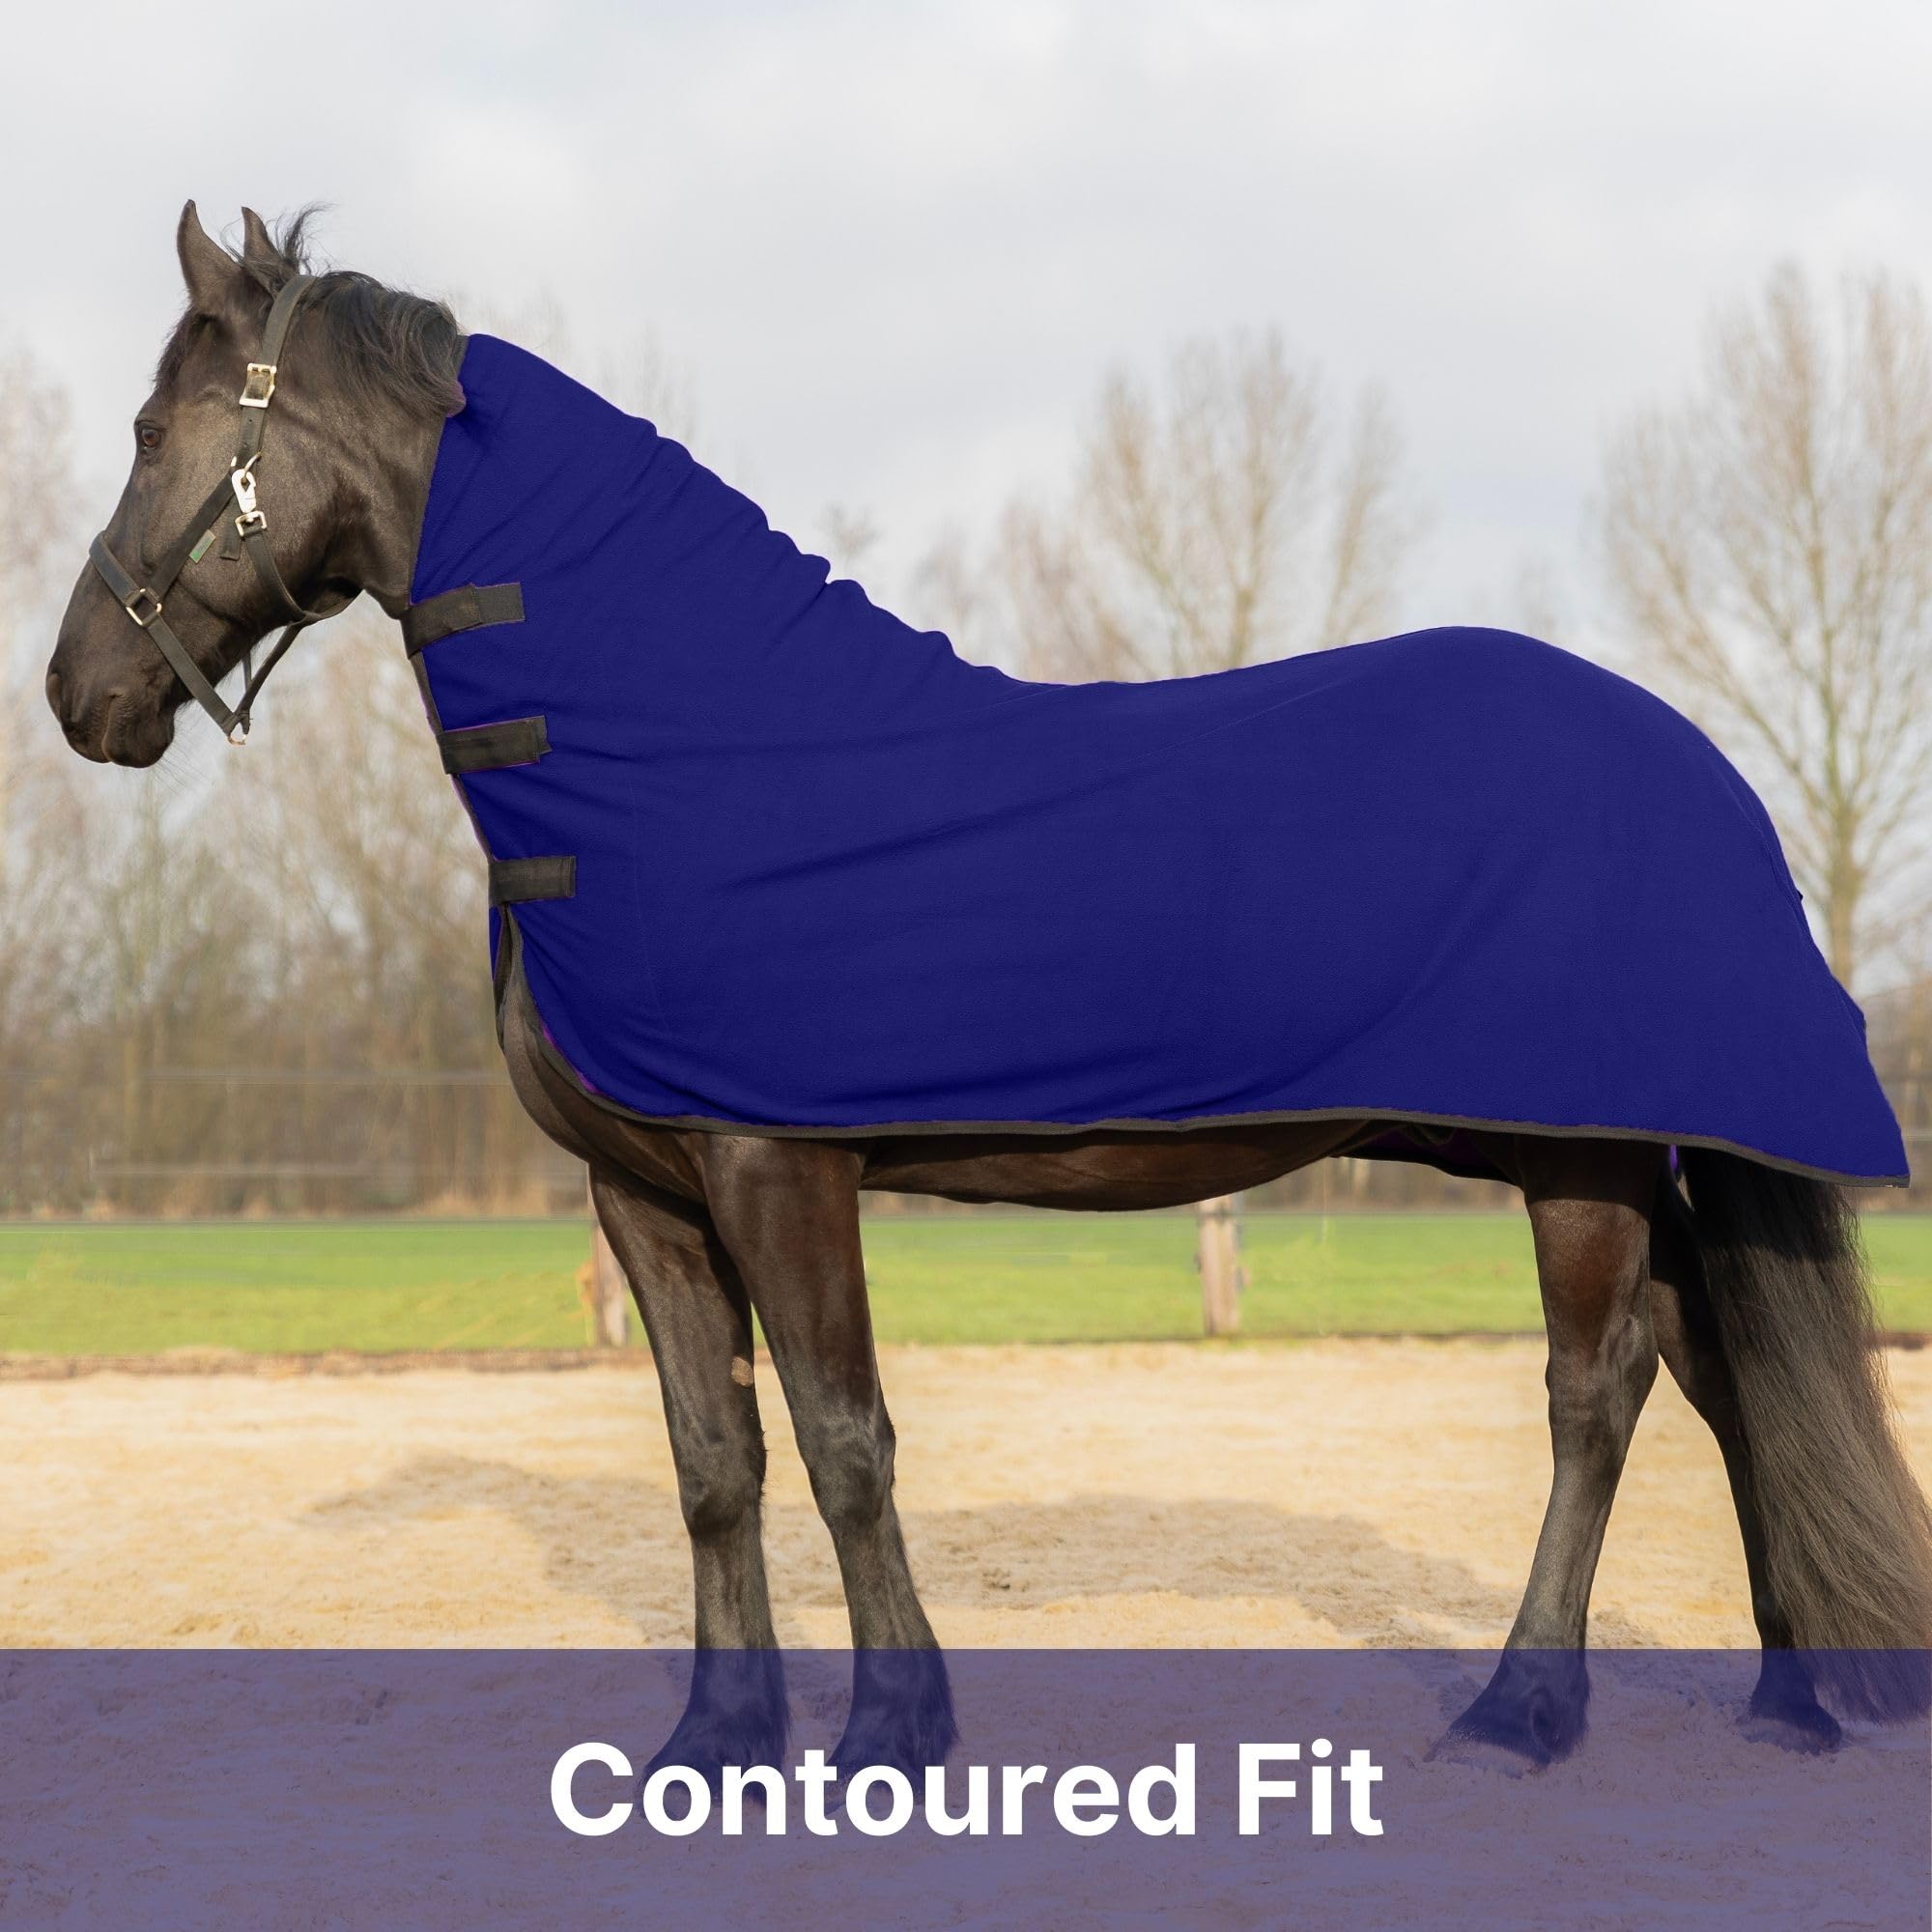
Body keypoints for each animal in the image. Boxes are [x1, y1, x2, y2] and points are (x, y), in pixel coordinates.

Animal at [46, 203, 1932, 1780]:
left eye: (151, 435)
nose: (79, 693)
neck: (683, 754)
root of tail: (1704, 770)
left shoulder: (776, 1168)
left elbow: (843, 1440)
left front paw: (893, 1731)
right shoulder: (641, 1192)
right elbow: (712, 1461)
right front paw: (714, 1742)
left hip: (1579, 1167)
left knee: (1596, 1397)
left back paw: (1522, 1711)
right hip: (1606, 1155)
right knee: (1717, 1367)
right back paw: (1785, 1703)